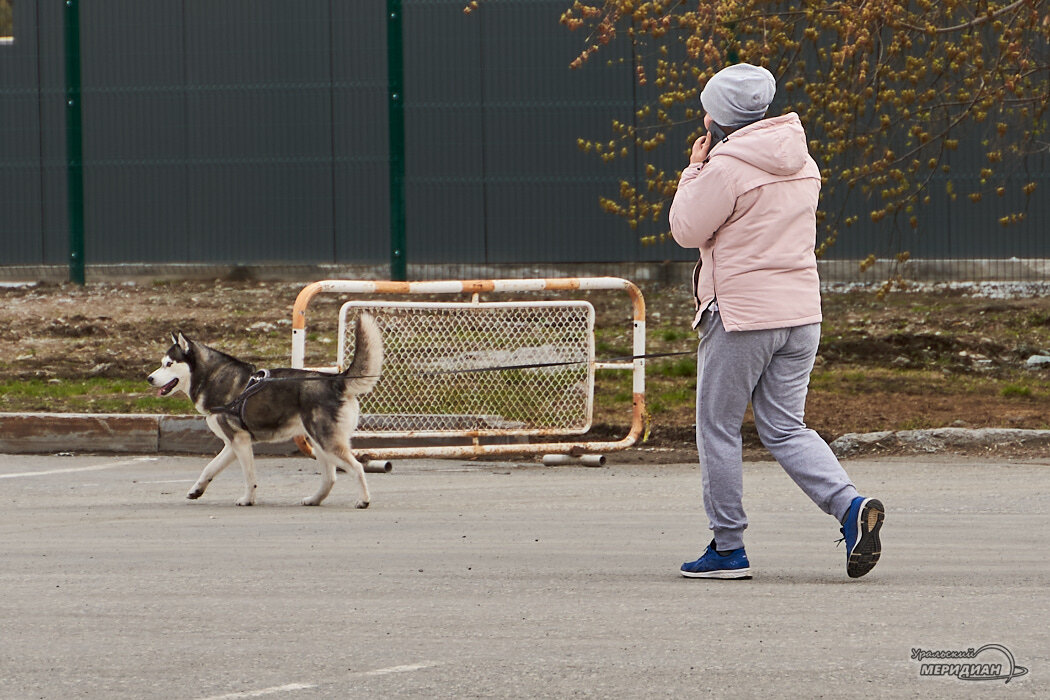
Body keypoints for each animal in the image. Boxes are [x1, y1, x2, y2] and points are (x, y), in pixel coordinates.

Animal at [145, 314, 380, 505]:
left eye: (168, 364)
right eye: (162, 363)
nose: (149, 378)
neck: (212, 377)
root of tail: (336, 380)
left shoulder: (240, 442)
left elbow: (250, 478)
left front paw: (248, 500)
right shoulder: (232, 443)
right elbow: (209, 468)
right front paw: (197, 490)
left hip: (326, 442)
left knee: (357, 468)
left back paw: (363, 500)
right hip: (318, 442)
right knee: (330, 478)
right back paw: (314, 500)